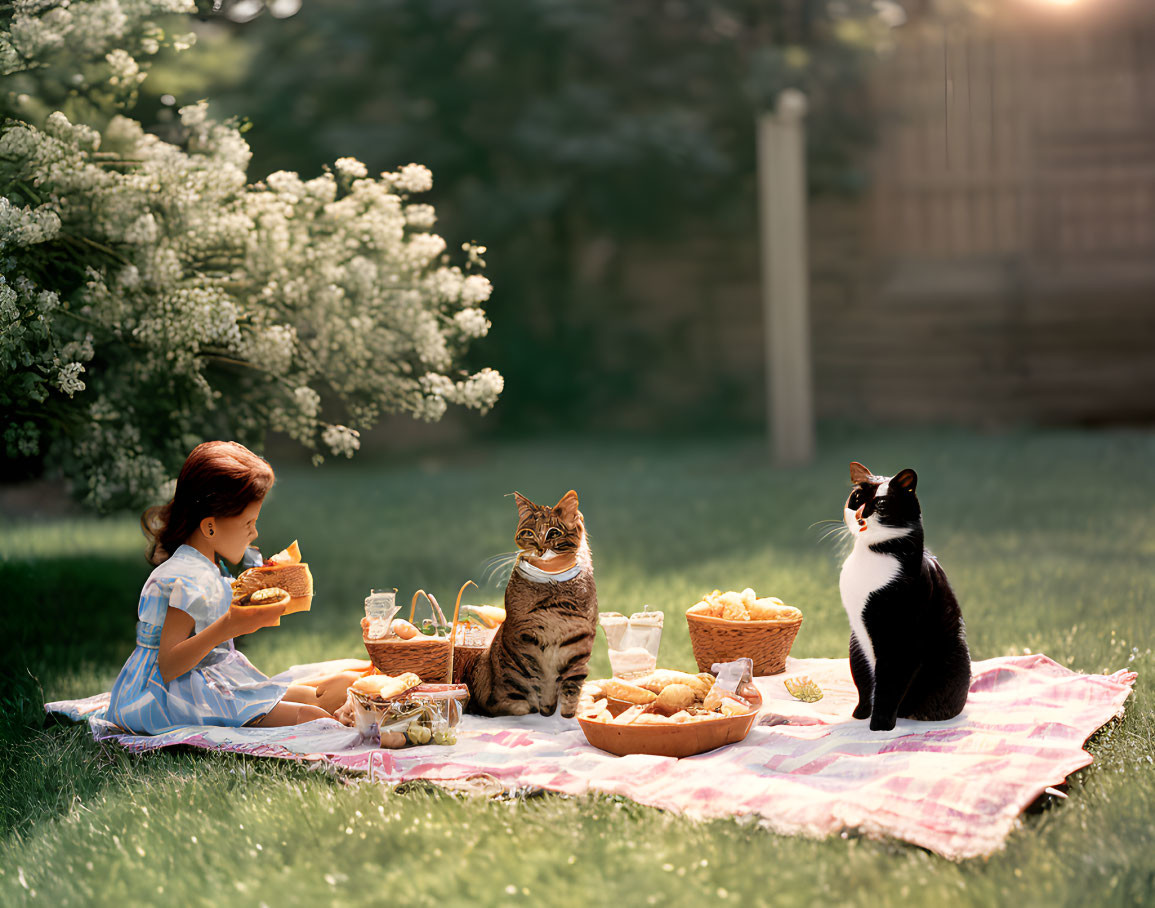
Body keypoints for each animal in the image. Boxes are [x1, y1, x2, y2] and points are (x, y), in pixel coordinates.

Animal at [464, 487, 600, 716]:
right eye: (528, 533)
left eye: (554, 532)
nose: (539, 548)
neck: (551, 582)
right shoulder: (524, 636)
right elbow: (533, 677)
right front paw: (540, 709)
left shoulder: (580, 637)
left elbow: (571, 684)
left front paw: (566, 713)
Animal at [836, 459, 970, 730]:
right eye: (857, 498)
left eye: (881, 504)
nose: (860, 516)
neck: (871, 557)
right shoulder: (857, 639)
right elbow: (863, 679)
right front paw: (861, 714)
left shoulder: (900, 637)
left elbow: (889, 686)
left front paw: (879, 727)